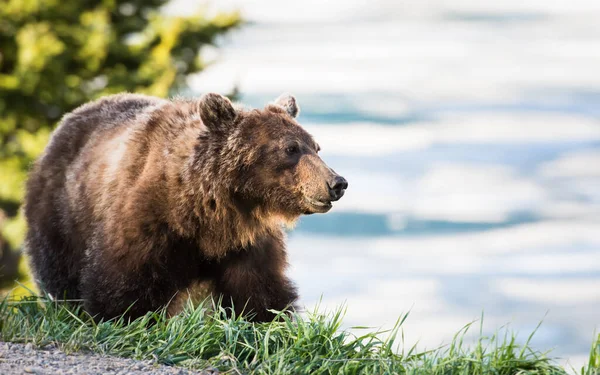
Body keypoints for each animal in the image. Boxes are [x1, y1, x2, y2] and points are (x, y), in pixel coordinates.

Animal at [24, 92, 346, 322]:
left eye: (315, 147)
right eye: (291, 149)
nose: (337, 183)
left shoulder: (245, 242)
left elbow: (260, 291)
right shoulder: (148, 222)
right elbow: (124, 280)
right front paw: (121, 316)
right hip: (63, 212)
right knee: (59, 269)